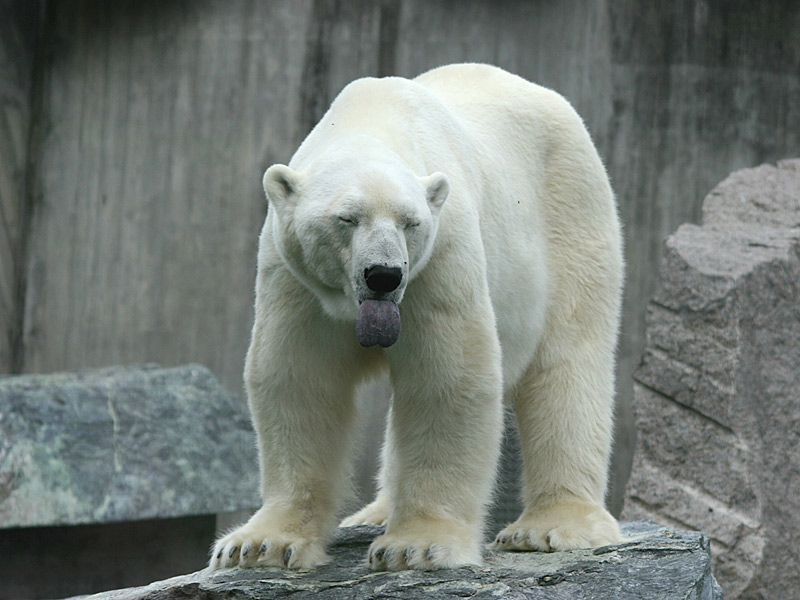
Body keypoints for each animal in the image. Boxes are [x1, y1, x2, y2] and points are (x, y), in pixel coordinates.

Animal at [209, 64, 620, 572]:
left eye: (410, 222)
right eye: (346, 218)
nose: (384, 275)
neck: (373, 120)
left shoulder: (441, 257)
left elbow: (447, 379)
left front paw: (416, 546)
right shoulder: (294, 276)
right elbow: (299, 379)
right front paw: (257, 544)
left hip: (571, 214)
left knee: (568, 362)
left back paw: (551, 527)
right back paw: (376, 511)